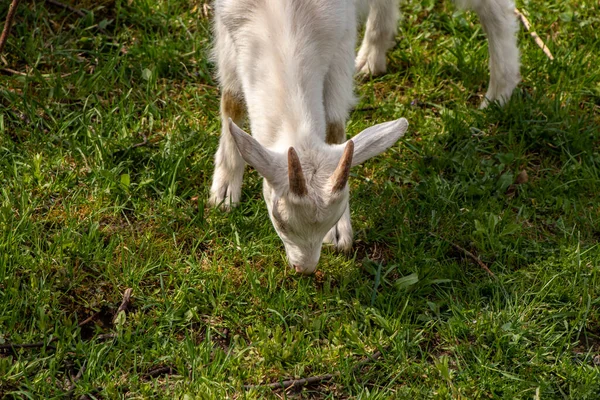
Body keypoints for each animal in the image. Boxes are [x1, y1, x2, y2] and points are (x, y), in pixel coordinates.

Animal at [209, 0, 410, 274]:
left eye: (332, 219)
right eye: (279, 222)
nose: (304, 269)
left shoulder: (342, 35)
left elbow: (335, 125)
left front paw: (339, 233)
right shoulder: (227, 22)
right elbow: (232, 101)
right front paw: (225, 190)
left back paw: (371, 57)